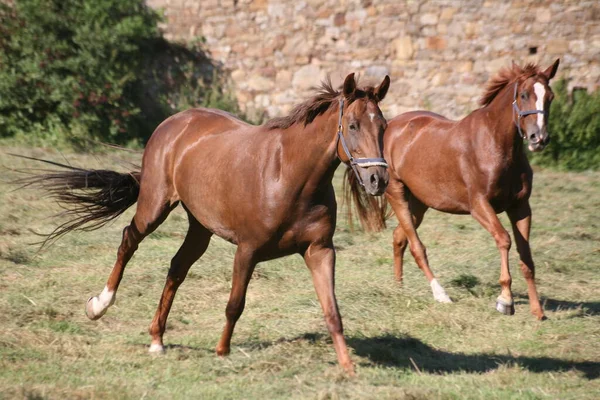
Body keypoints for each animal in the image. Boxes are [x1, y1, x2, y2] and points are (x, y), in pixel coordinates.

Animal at [21, 72, 392, 376]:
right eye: (353, 126)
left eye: (383, 127)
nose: (377, 180)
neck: (289, 175)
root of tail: (174, 122)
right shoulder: (247, 250)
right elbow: (234, 305)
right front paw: (222, 352)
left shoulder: (320, 250)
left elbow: (332, 311)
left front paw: (347, 368)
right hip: (154, 206)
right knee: (129, 240)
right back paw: (99, 305)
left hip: (199, 226)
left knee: (176, 267)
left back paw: (157, 339)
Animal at [350, 60, 560, 322]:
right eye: (523, 95)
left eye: (550, 97)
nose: (538, 138)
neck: (495, 145)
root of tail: (390, 128)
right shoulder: (479, 206)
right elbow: (504, 240)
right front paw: (505, 301)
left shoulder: (521, 207)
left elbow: (527, 257)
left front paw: (538, 311)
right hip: (397, 193)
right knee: (416, 246)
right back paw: (439, 294)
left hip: (419, 203)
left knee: (399, 237)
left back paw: (398, 287)